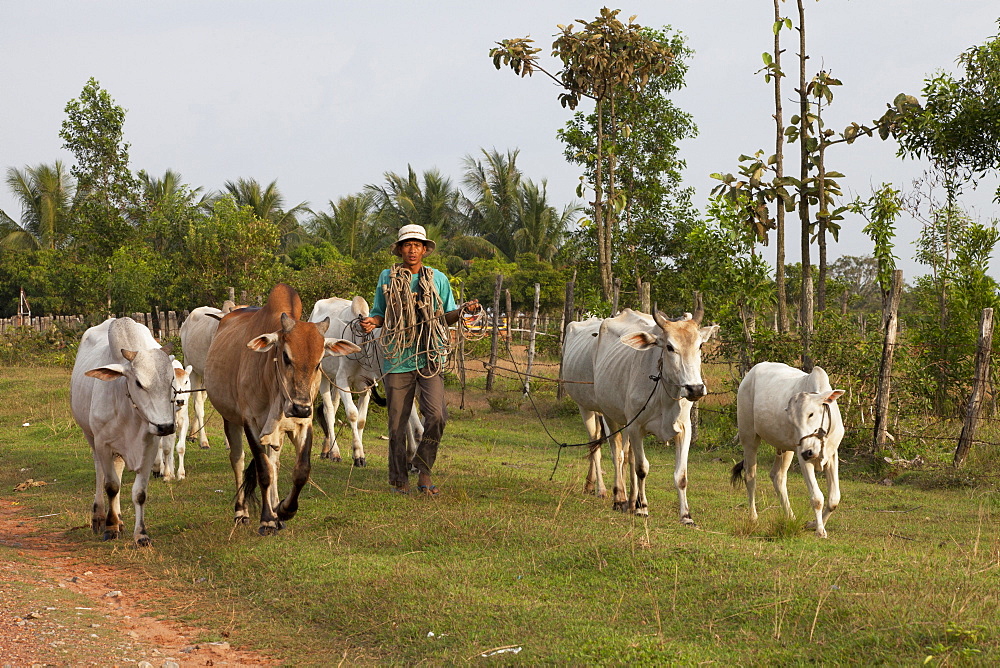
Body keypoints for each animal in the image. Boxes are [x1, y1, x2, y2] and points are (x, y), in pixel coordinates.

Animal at [70, 316, 178, 544]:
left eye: (171, 380)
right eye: (138, 382)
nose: (165, 426)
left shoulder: (150, 445)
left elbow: (139, 492)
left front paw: (141, 534)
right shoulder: (102, 443)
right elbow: (111, 485)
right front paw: (110, 527)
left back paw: (118, 518)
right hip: (90, 436)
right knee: (100, 473)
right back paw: (100, 517)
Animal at [203, 284, 360, 536]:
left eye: (319, 362)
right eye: (286, 356)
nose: (300, 407)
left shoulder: (302, 424)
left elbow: (300, 470)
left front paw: (284, 510)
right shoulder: (251, 423)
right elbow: (264, 472)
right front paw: (267, 519)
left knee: (273, 462)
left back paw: (277, 513)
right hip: (230, 418)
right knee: (238, 459)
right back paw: (242, 511)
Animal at [588, 308, 716, 520]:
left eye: (700, 345)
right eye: (670, 347)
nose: (695, 389)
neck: (664, 394)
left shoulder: (684, 429)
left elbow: (681, 475)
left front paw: (686, 515)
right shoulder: (636, 427)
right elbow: (642, 469)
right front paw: (643, 508)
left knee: (628, 457)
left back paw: (632, 501)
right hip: (610, 416)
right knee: (618, 456)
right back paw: (620, 498)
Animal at [732, 360, 848, 536]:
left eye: (811, 414)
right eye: (791, 420)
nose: (808, 451)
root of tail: (749, 375)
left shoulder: (832, 455)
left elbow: (834, 499)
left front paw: (812, 524)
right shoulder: (802, 457)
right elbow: (817, 498)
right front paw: (820, 530)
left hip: (785, 449)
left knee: (777, 477)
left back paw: (790, 517)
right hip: (749, 437)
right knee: (750, 476)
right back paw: (753, 517)